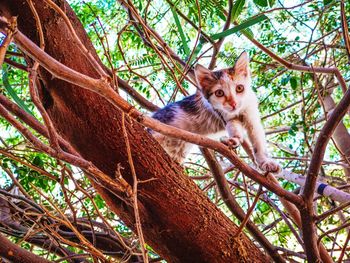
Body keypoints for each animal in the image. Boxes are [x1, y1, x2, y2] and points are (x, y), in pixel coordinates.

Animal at [152, 52, 280, 174]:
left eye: (239, 88)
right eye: (219, 93)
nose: (233, 103)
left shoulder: (251, 115)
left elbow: (258, 141)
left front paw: (265, 161)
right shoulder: (224, 116)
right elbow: (234, 128)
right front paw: (234, 139)